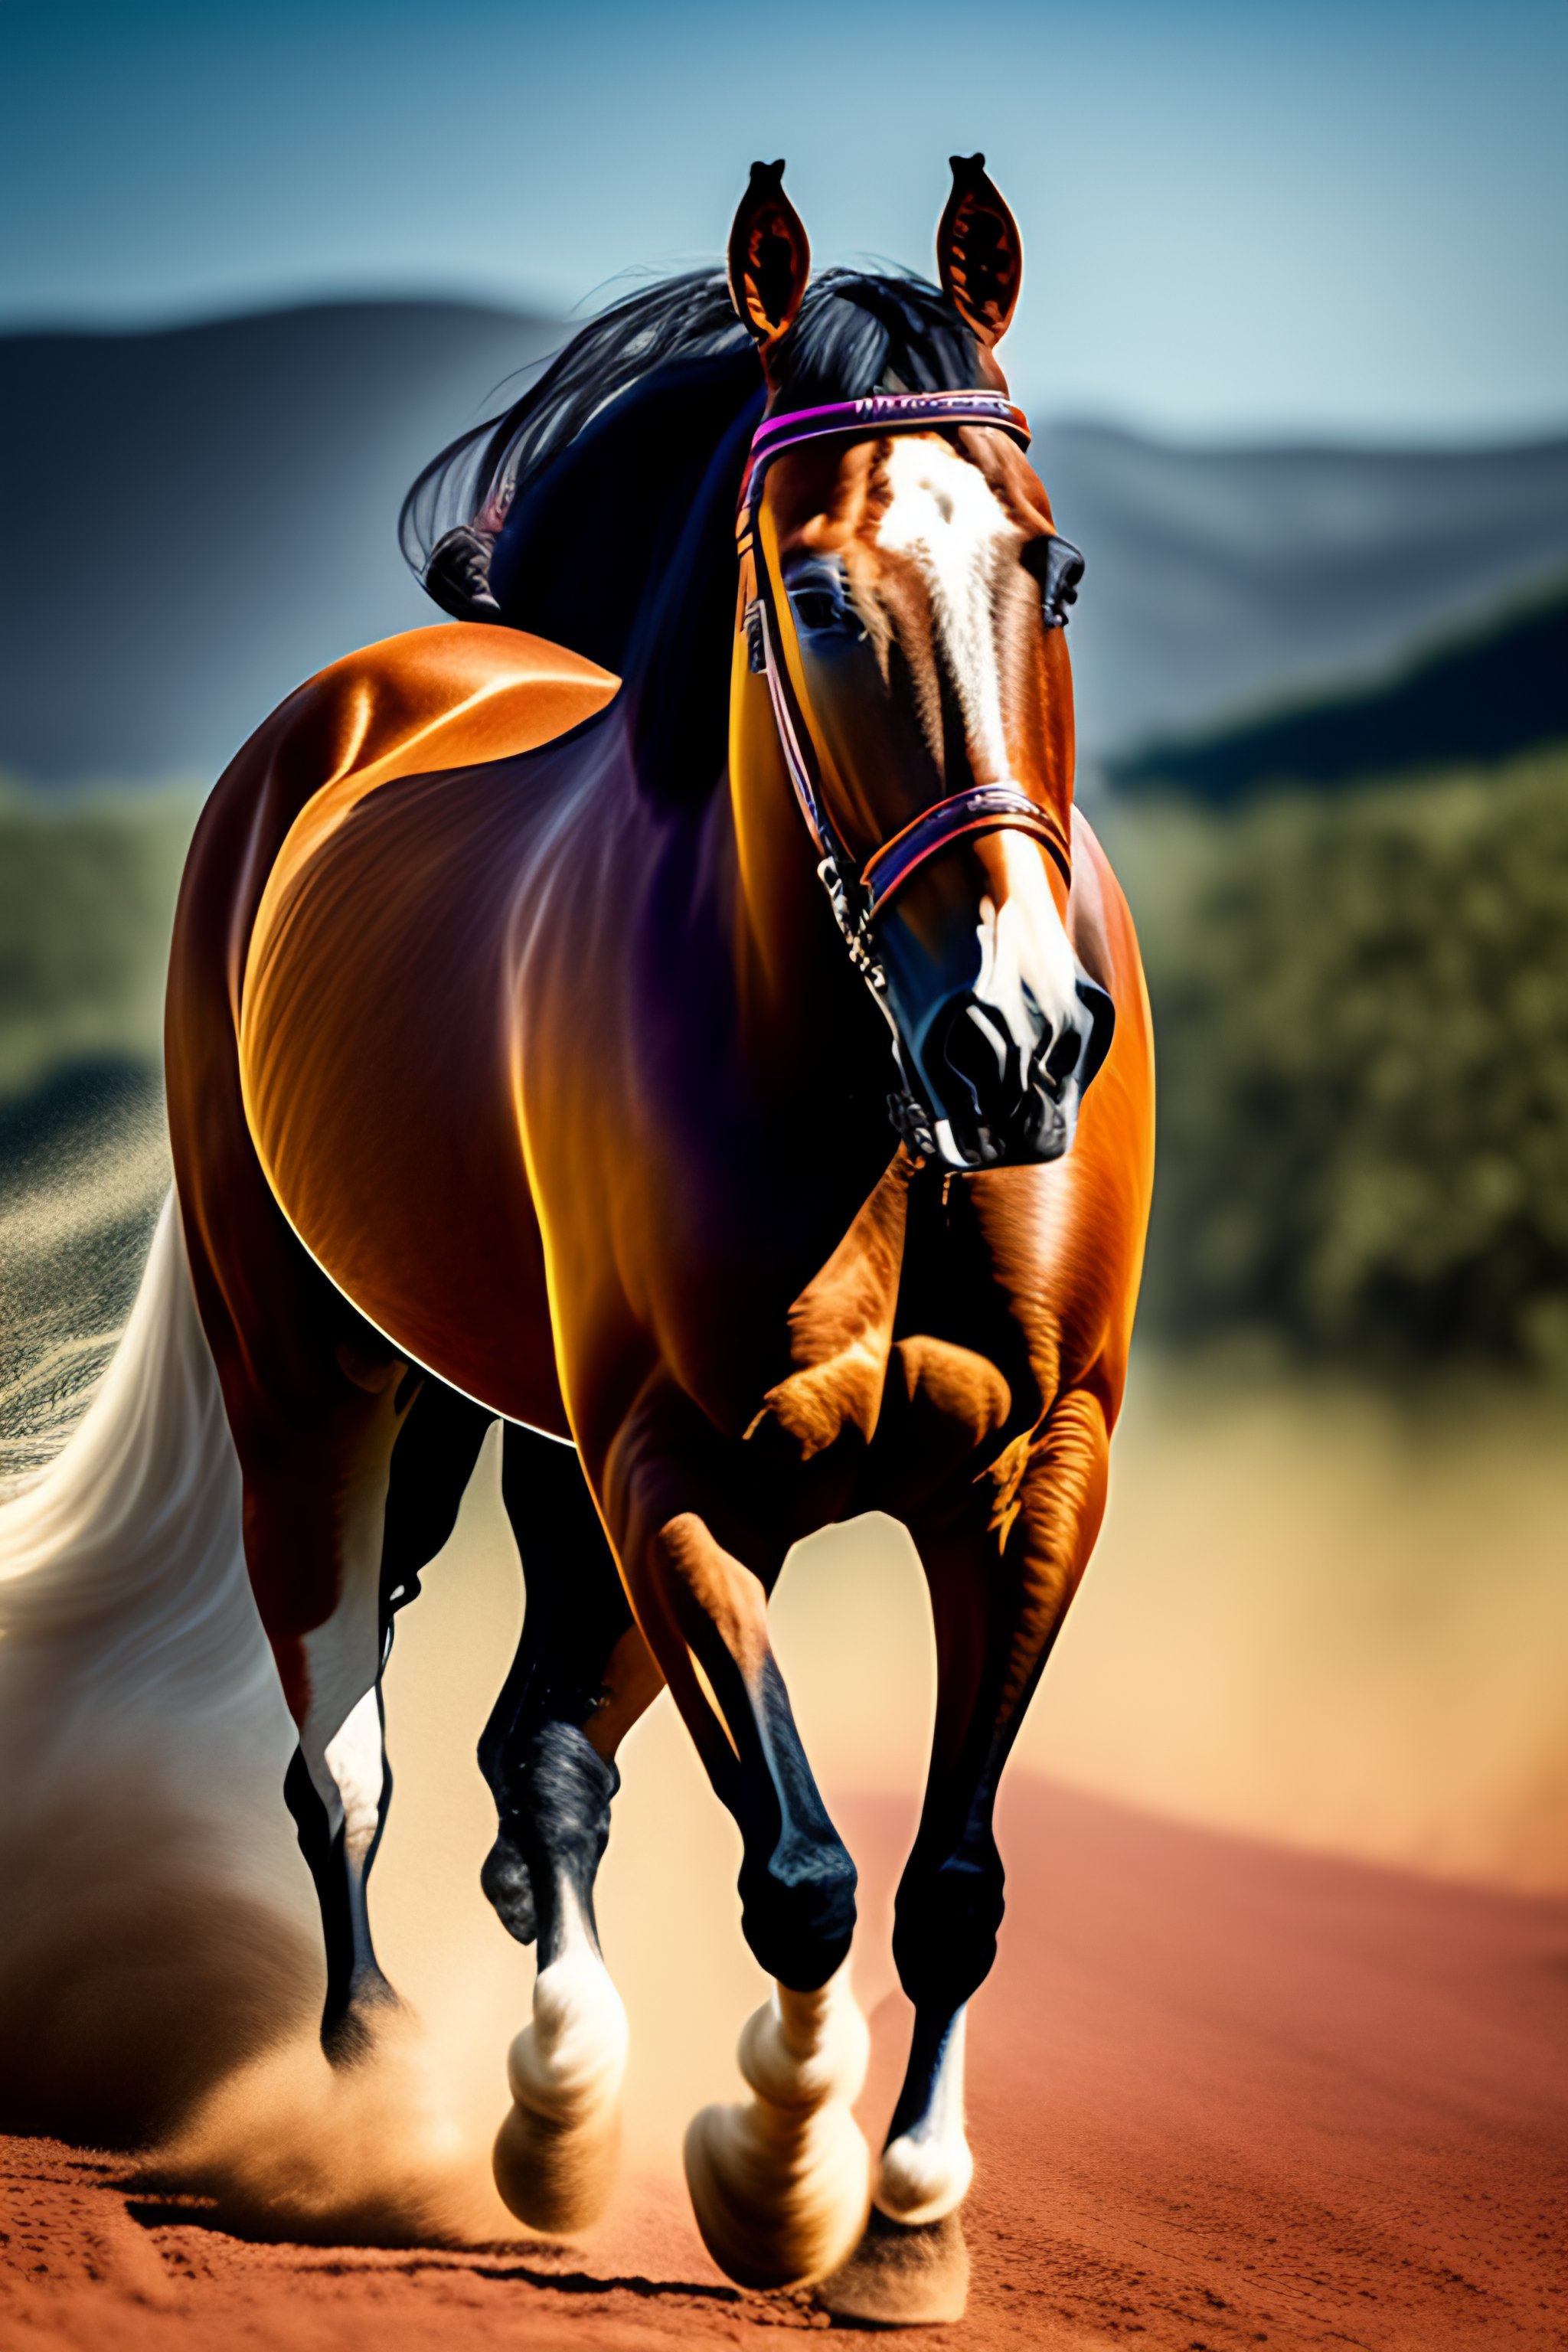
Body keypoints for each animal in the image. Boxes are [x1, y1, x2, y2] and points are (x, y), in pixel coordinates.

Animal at [112, 155, 1152, 2323]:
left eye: (1057, 571)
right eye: (816, 595)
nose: (1019, 1042)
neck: (878, 1106)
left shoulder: (1037, 1469)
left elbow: (946, 1879)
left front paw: (904, 2219)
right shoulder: (676, 1469)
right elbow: (800, 1869)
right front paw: (775, 2171)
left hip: (535, 1457)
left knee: (535, 1766)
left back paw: (559, 2088)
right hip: (315, 1378)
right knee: (354, 1759)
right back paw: (402, 2093)